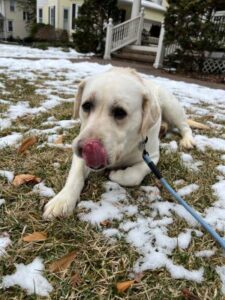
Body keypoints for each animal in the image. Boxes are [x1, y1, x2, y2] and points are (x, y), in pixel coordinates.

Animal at [43, 67, 195, 219]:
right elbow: (75, 175)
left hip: (172, 108)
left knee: (185, 126)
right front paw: (62, 200)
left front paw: (116, 175)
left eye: (120, 112)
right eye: (86, 106)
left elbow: (133, 175)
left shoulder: (151, 157)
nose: (84, 147)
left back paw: (187, 141)